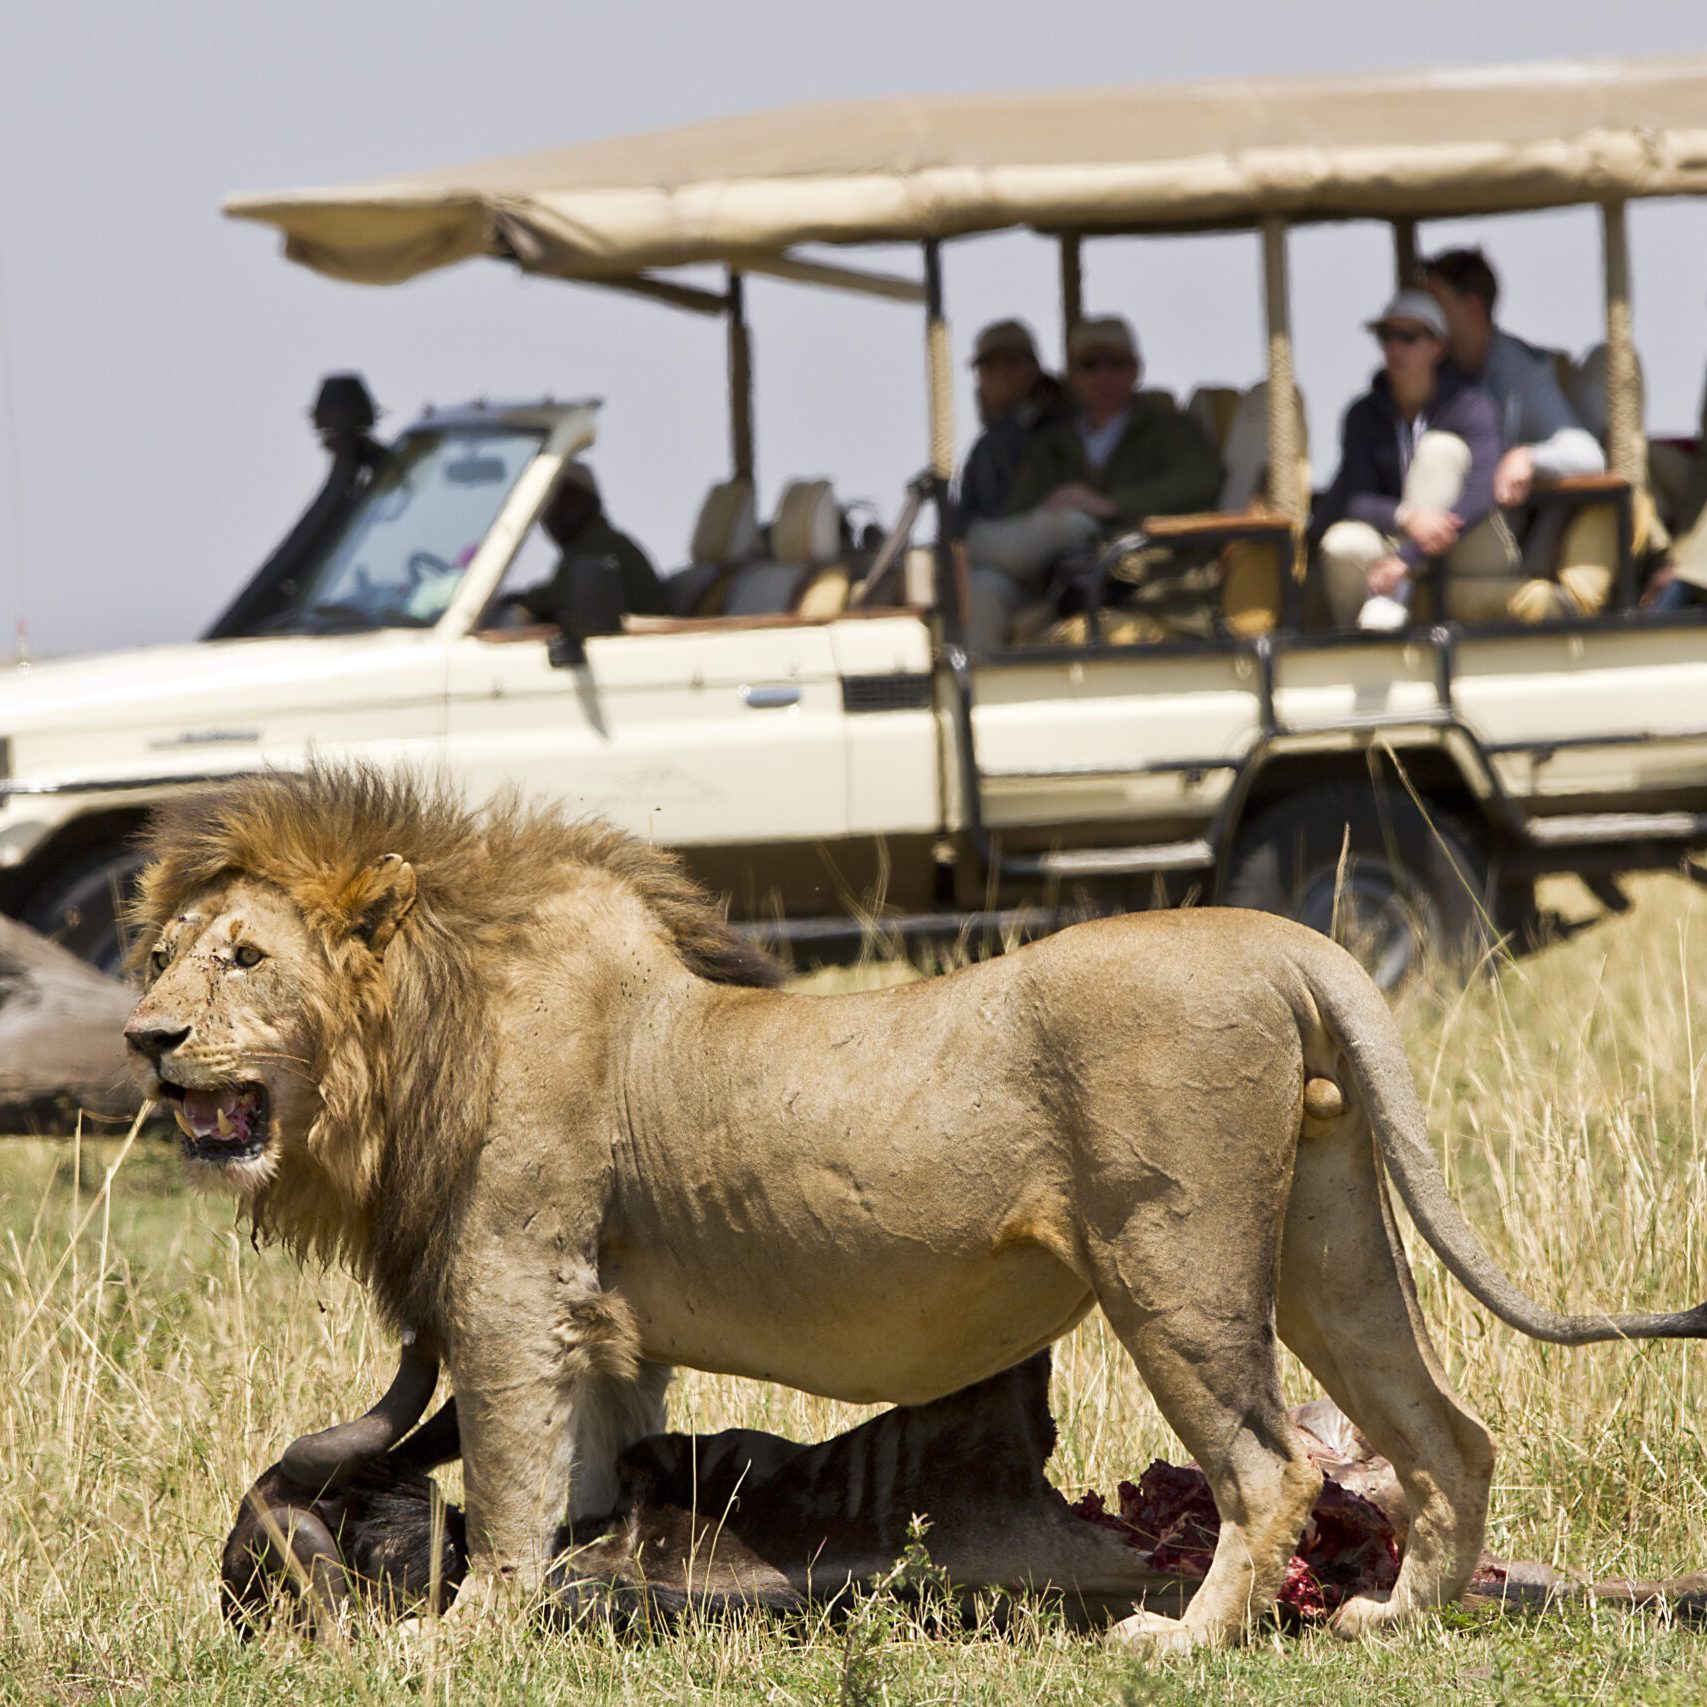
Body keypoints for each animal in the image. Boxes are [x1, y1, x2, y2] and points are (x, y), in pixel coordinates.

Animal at [123, 764, 1707, 1652]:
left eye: (246, 957)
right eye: (158, 955)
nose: (143, 1037)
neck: (410, 1043)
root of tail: (1282, 940)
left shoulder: (514, 1288)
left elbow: (510, 1490)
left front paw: (459, 1636)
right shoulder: (604, 1335)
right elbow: (581, 1478)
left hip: (1170, 1264)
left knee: (1270, 1473)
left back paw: (1182, 1644)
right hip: (1328, 1248)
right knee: (1443, 1431)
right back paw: (1397, 1617)